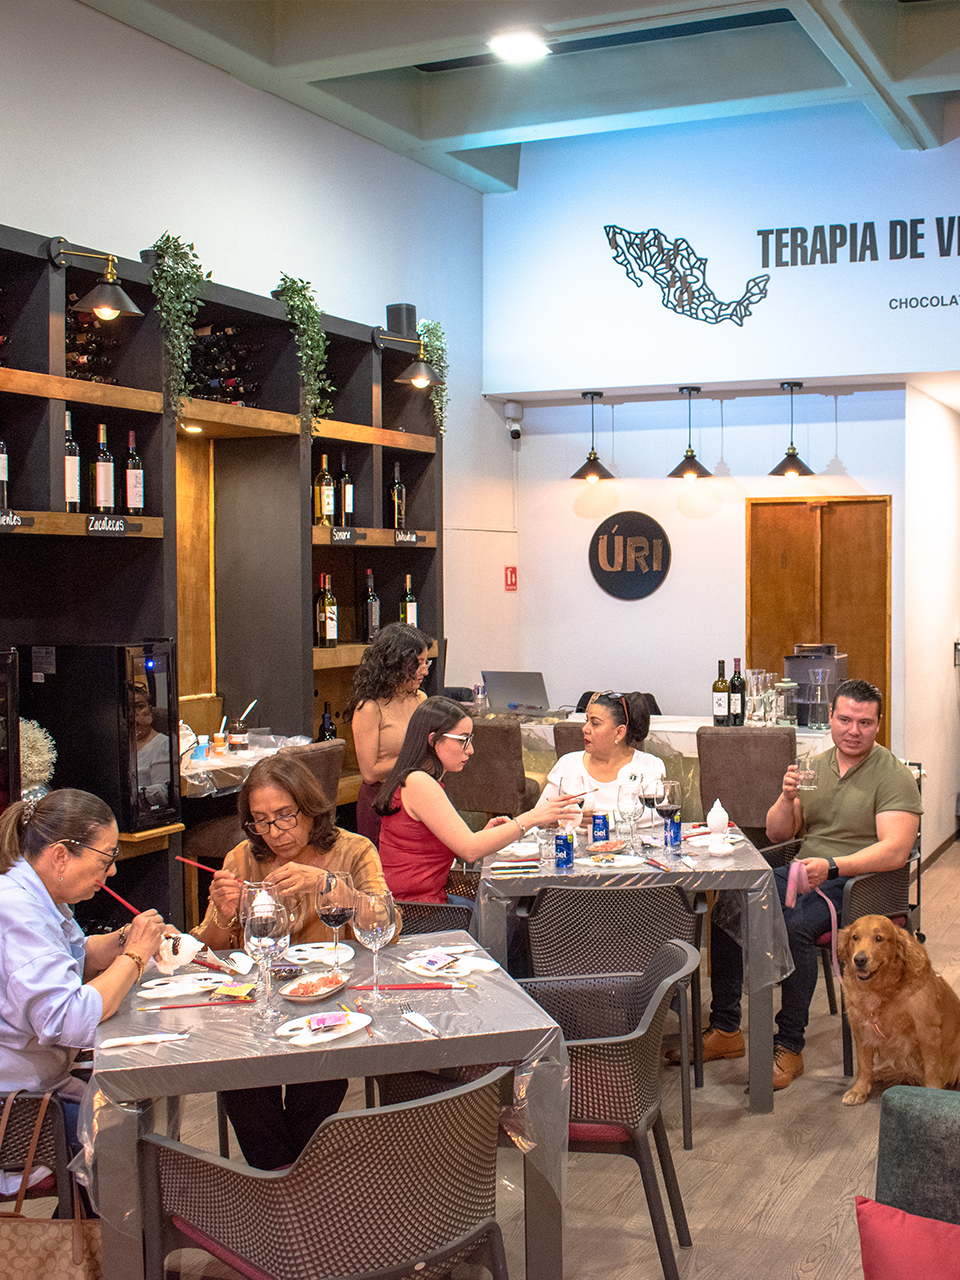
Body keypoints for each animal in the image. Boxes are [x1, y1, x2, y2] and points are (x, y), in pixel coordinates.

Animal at [838, 914, 960, 1105]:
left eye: (879, 938)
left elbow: (932, 1069)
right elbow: (863, 1065)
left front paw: (932, 1094)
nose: (859, 959)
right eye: (855, 937)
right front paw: (859, 1090)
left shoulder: (928, 1032)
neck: (881, 990)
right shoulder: (861, 1028)